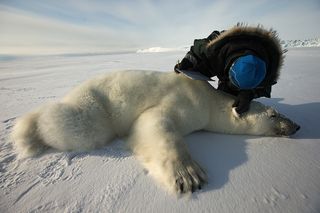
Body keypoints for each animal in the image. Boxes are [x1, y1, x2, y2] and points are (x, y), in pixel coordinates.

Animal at [10, 70, 300, 194]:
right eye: (273, 115)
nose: (296, 126)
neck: (208, 101)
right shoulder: (183, 101)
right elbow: (155, 123)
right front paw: (188, 176)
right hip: (94, 106)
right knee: (79, 125)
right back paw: (28, 133)